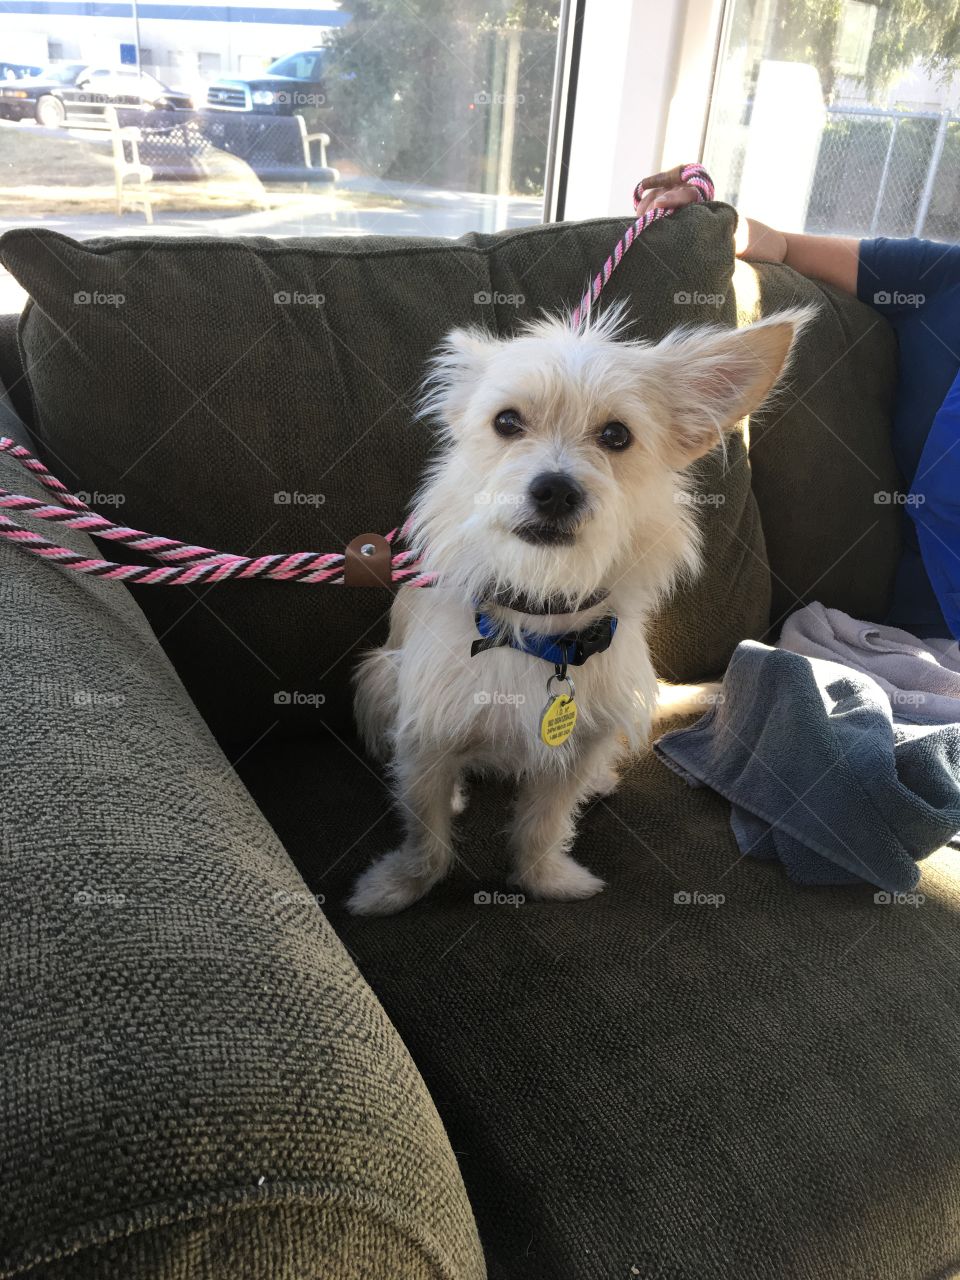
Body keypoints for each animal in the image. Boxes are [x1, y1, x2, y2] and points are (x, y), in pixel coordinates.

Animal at [350, 304, 808, 916]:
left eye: (616, 435)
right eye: (507, 422)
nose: (556, 491)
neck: (538, 617)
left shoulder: (577, 743)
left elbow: (544, 824)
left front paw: (545, 880)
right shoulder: (426, 733)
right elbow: (425, 834)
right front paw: (397, 887)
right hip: (380, 675)